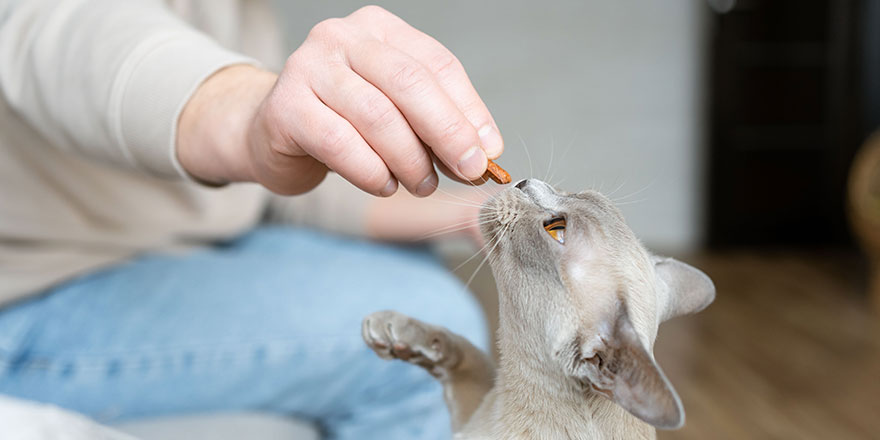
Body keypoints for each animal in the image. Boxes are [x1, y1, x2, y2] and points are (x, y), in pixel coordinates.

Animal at [360, 179, 712, 440]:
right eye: (577, 194)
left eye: (557, 230)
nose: (523, 183)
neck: (503, 397)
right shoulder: (472, 411)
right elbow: (466, 350)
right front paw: (395, 331)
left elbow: (470, 355)